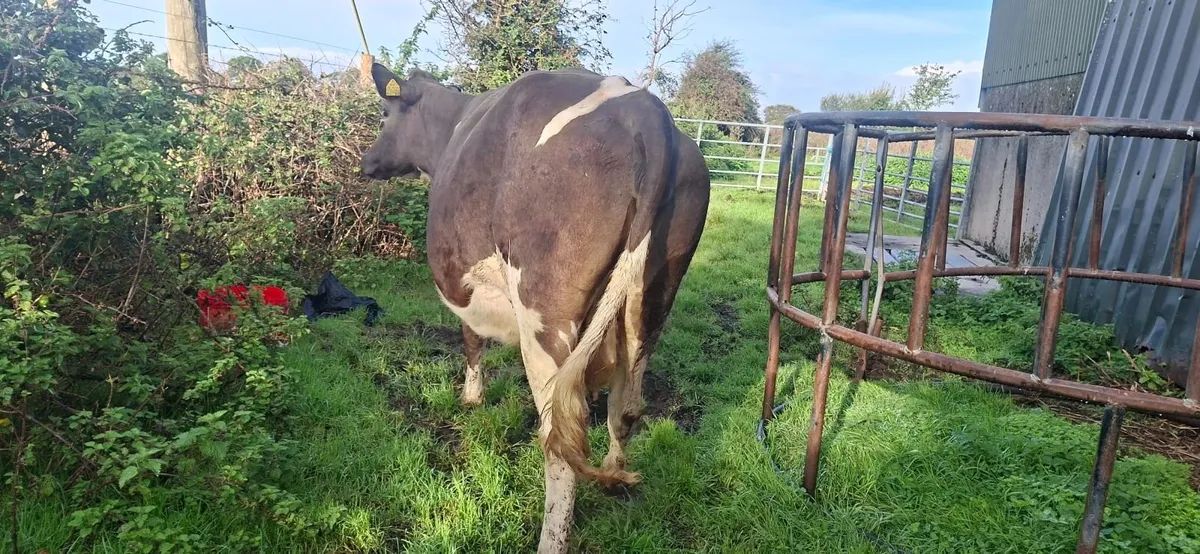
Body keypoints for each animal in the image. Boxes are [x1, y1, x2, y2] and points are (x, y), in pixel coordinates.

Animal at [359, 63, 710, 553]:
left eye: (384, 114)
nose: (366, 162)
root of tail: (646, 111)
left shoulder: (466, 286)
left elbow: (471, 339)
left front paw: (471, 398)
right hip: (654, 300)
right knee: (625, 406)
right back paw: (615, 478)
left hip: (544, 313)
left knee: (560, 439)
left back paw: (551, 538)